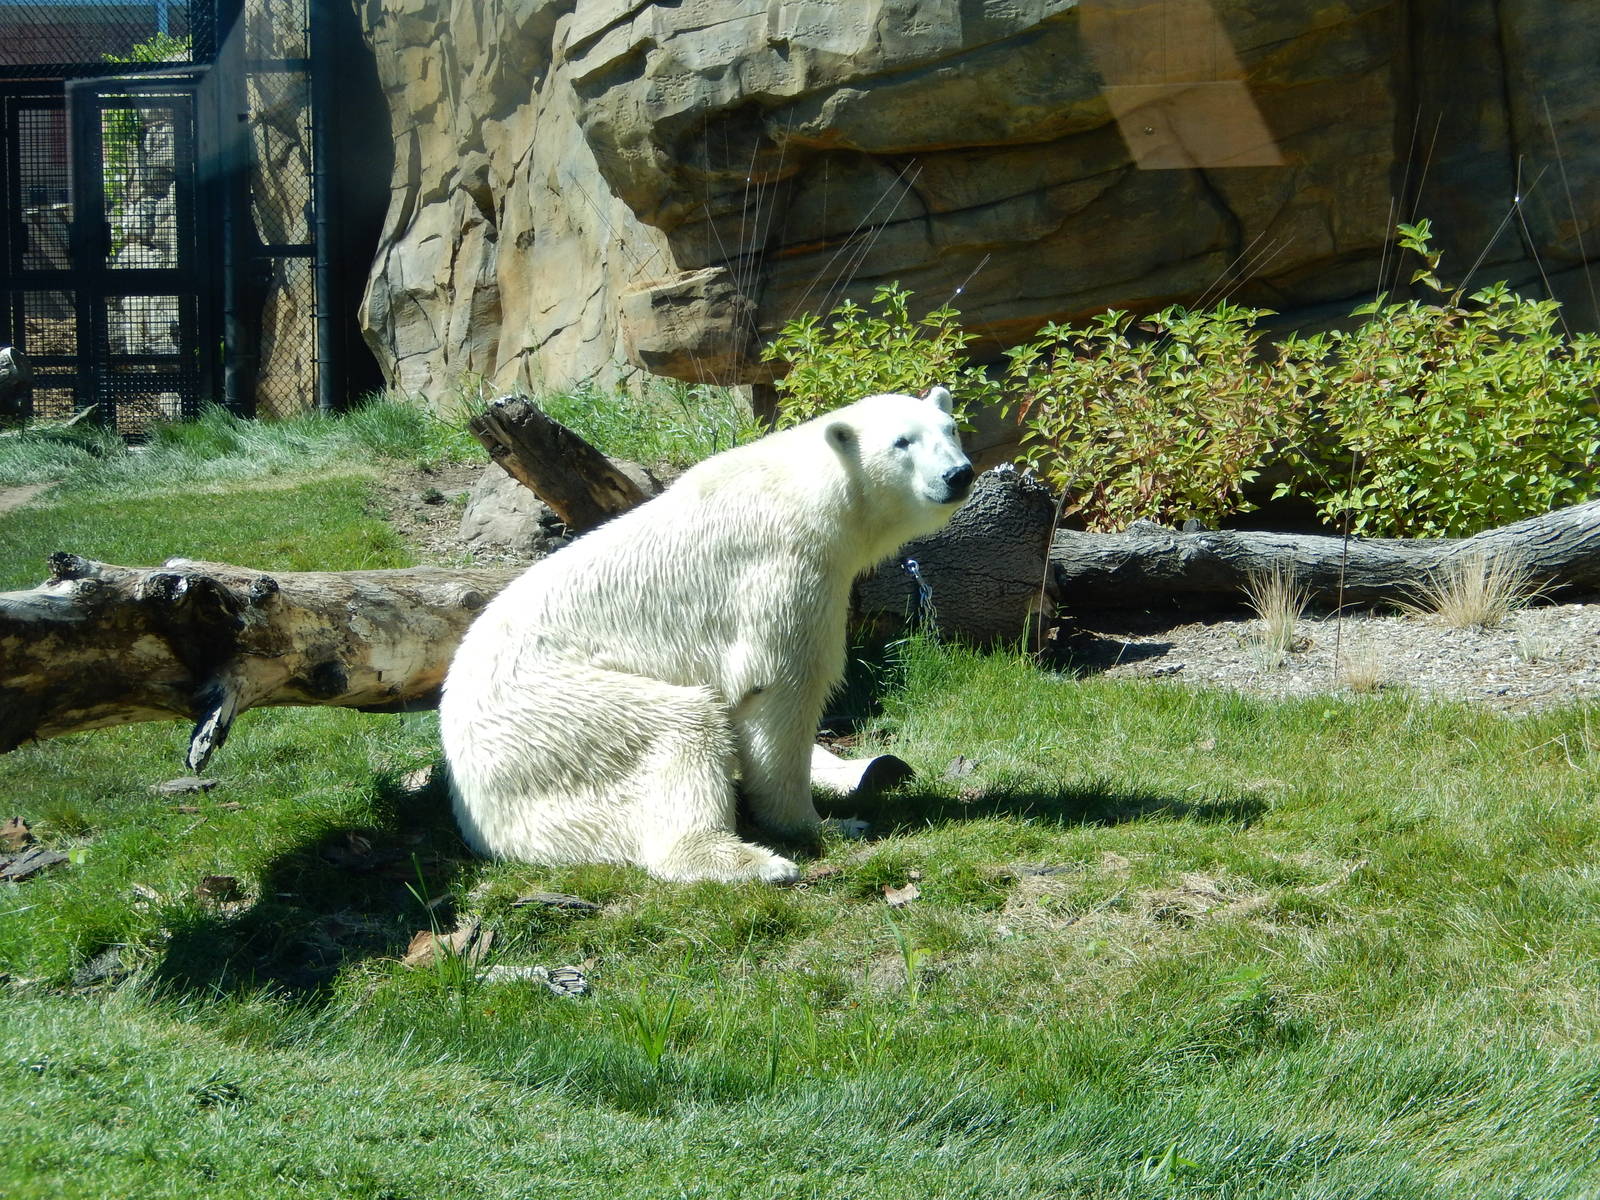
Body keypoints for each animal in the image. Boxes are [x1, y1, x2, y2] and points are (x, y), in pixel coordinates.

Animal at [439, 387, 973, 884]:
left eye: (950, 428)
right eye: (902, 442)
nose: (958, 475)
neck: (809, 495)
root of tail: (474, 811)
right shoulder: (784, 568)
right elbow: (779, 687)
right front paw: (823, 824)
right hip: (553, 716)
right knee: (678, 726)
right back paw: (751, 860)